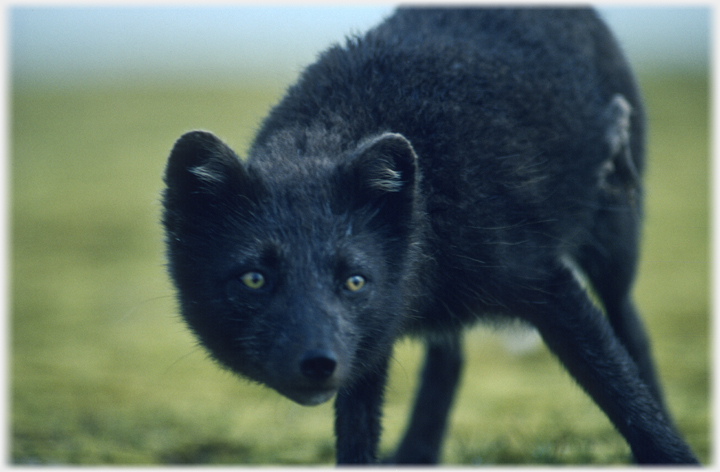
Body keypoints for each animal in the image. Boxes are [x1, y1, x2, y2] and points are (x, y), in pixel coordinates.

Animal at [163, 7, 696, 464]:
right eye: (254, 279)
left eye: (354, 281)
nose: (317, 364)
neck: (431, 204)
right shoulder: (372, 339)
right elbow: (357, 437)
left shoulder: (547, 282)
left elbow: (624, 394)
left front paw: (674, 455)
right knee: (449, 359)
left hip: (614, 243)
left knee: (631, 332)